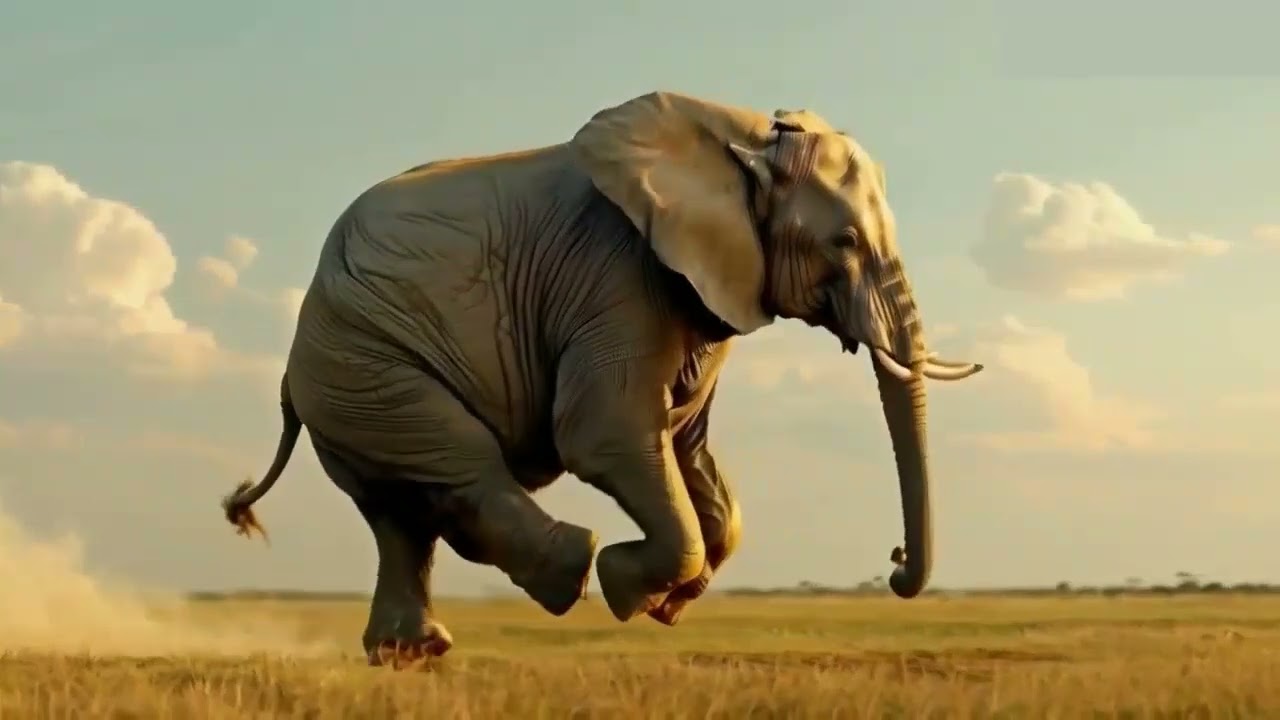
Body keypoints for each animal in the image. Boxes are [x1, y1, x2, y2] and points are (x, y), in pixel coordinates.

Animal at [219, 90, 983, 668]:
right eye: (843, 242)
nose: (894, 562)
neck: (744, 142)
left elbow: (690, 450)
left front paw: (667, 603)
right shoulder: (617, 273)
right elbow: (604, 436)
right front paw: (625, 587)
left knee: (399, 516)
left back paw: (411, 655)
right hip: (365, 361)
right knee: (452, 469)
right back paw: (570, 572)